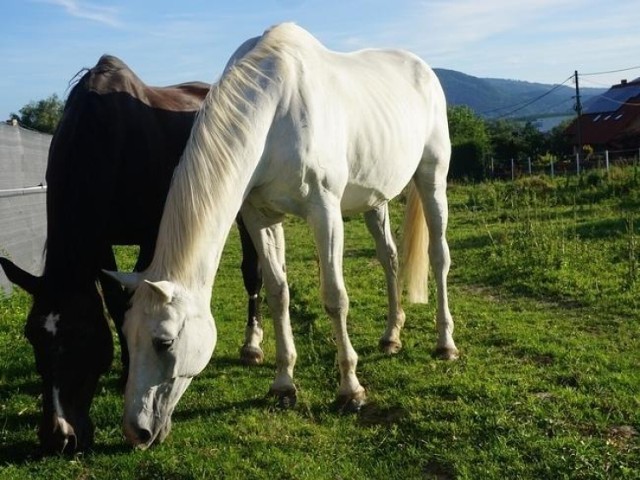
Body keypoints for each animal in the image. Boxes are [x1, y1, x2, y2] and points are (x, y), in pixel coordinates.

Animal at [0, 56, 262, 454]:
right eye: (32, 337)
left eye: (82, 337)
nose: (59, 437)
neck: (109, 136)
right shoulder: (100, 243)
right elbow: (114, 301)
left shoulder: (154, 237)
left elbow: (127, 301)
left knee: (253, 272)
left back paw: (253, 345)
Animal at [111, 23, 460, 450]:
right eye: (127, 334)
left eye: (164, 342)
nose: (136, 431)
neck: (276, 110)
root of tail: (423, 69)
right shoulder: (259, 216)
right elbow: (277, 292)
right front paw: (283, 385)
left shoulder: (324, 211)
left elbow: (334, 298)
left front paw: (351, 390)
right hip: (374, 199)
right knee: (389, 257)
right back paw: (391, 336)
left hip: (432, 177)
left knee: (439, 255)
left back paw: (445, 344)